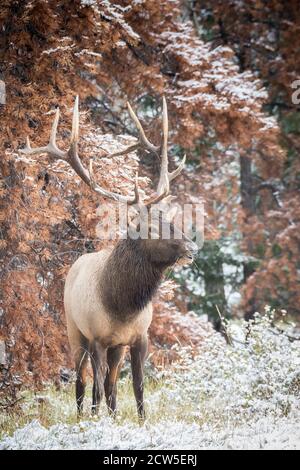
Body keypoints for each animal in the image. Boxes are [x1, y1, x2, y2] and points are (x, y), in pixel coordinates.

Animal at [21, 97, 199, 420]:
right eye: (151, 228)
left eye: (170, 219)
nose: (191, 247)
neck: (122, 306)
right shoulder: (96, 338)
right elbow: (96, 389)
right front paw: (95, 422)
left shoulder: (139, 337)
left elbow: (137, 388)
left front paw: (141, 423)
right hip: (74, 330)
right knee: (82, 382)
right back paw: (82, 418)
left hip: (116, 347)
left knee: (112, 385)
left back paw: (112, 416)